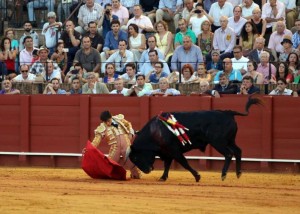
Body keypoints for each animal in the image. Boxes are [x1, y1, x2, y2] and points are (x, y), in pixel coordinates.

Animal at [127, 97, 262, 182]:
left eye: (135, 158)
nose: (147, 171)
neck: (154, 131)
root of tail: (227, 113)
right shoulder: (168, 152)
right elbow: (167, 165)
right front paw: (163, 178)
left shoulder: (174, 150)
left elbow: (184, 163)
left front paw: (197, 176)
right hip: (230, 140)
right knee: (238, 151)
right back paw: (238, 173)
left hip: (218, 142)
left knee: (229, 154)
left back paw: (223, 175)